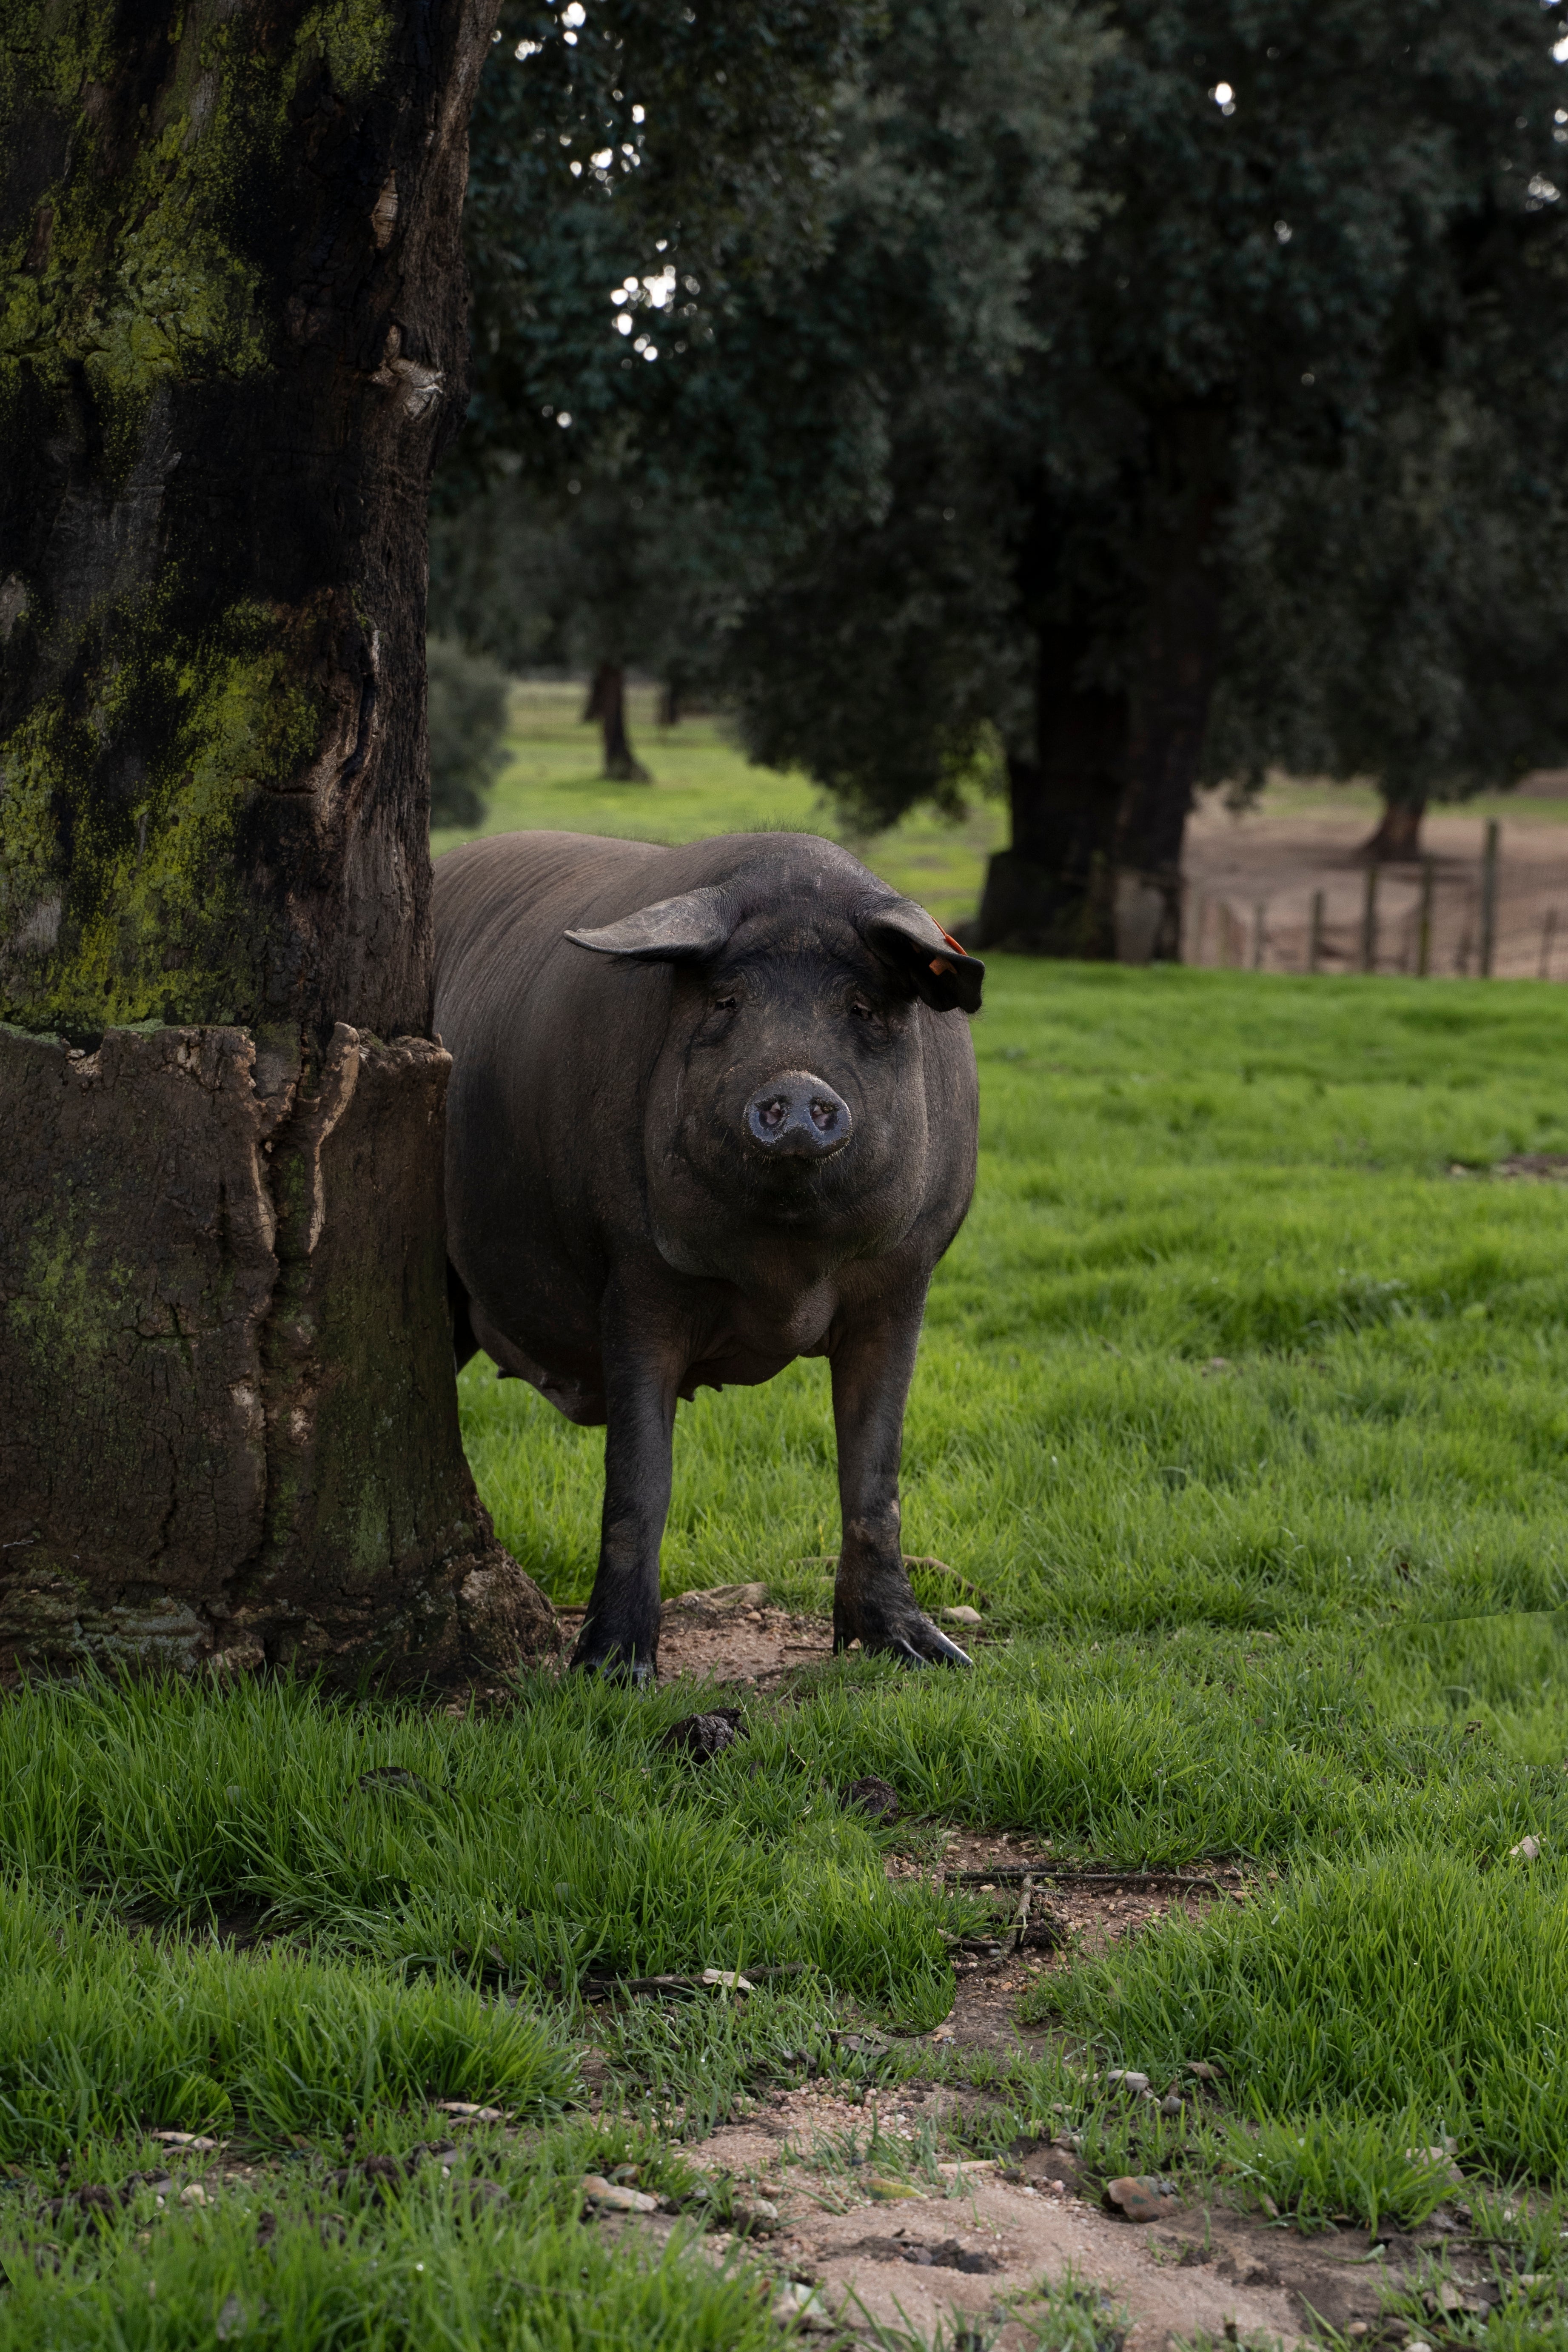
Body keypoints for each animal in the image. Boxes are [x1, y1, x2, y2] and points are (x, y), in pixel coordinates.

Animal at [430, 837, 987, 1684]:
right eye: (727, 1002)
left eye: (861, 1008)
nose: (797, 1086)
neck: (787, 1275)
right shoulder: (633, 1275)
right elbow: (639, 1480)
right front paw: (612, 1673)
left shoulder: (904, 1279)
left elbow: (873, 1471)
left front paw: (931, 1658)